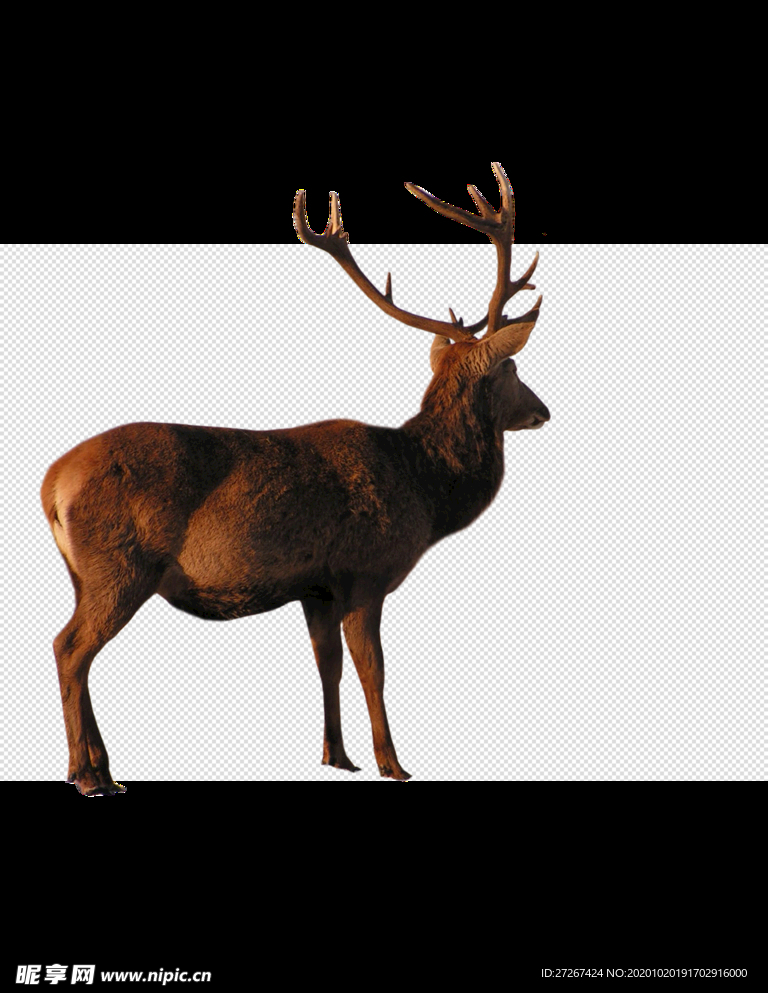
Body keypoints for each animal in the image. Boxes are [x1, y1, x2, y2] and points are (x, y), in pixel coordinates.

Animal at [41, 162, 550, 793]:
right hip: (119, 563)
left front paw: (338, 755)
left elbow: (326, 666)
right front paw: (393, 763)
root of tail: (50, 484)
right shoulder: (365, 570)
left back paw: (100, 769)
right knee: (70, 648)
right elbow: (373, 669)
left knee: (77, 651)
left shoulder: (316, 585)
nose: (544, 411)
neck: (425, 490)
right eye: (513, 367)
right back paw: (87, 774)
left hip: (85, 573)